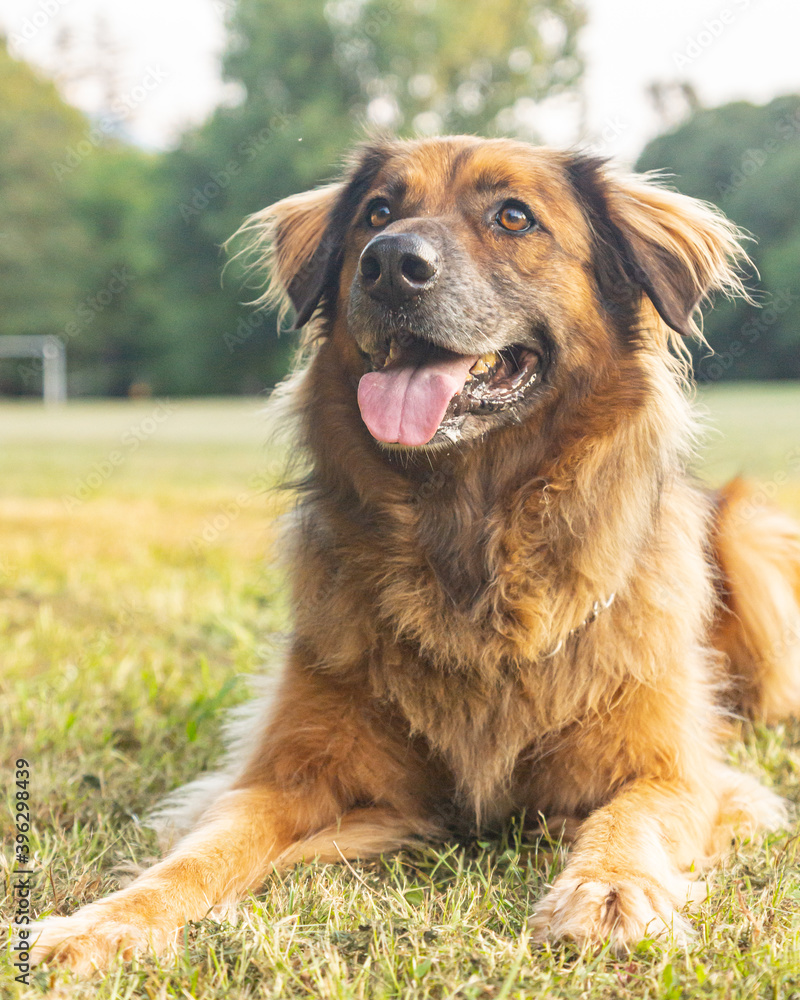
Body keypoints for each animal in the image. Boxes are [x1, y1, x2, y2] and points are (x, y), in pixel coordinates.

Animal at [29, 135, 800, 968]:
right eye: (377, 212)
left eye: (514, 217)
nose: (391, 262)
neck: (469, 532)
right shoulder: (290, 775)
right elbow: (202, 851)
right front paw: (106, 922)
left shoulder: (677, 774)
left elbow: (629, 821)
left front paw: (609, 894)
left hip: (750, 537)